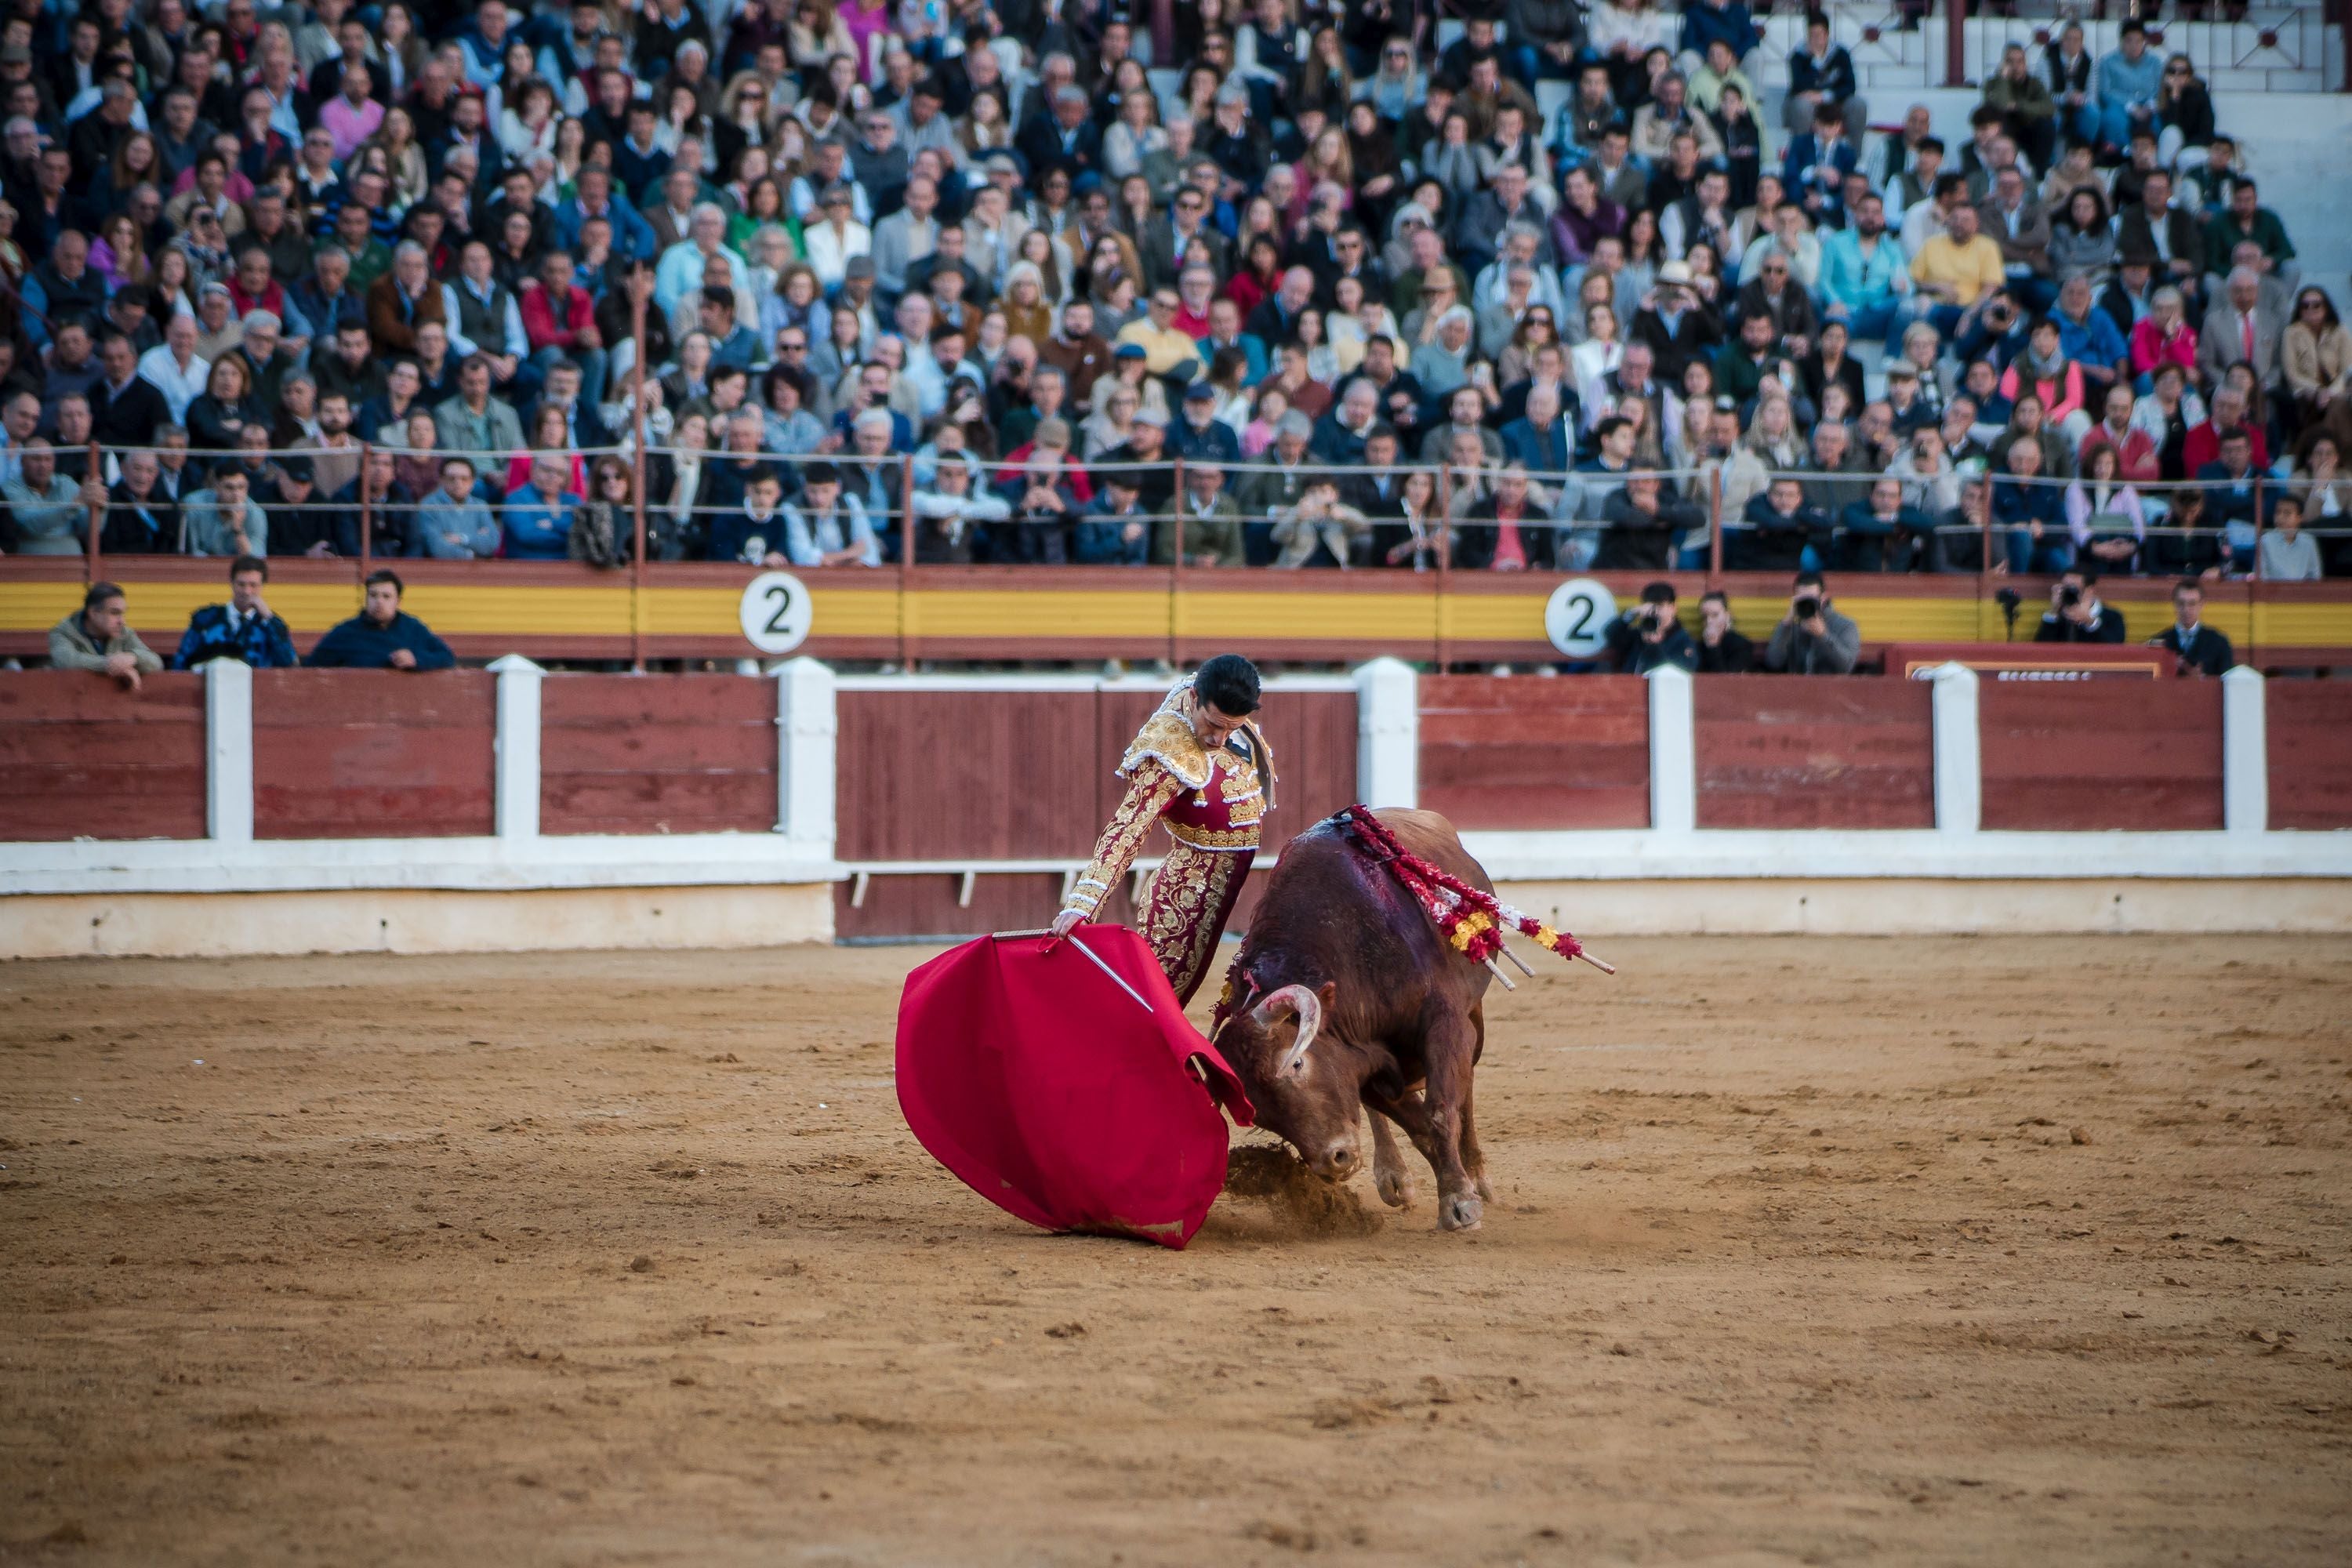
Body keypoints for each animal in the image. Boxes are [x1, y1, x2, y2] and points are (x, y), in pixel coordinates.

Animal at [1214, 818, 1505, 1232]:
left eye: (1297, 1063)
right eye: (1256, 1109)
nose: (1333, 1162)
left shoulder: (1446, 1025)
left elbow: (1441, 1110)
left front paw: (1462, 1201)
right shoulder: (1362, 1060)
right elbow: (1417, 1126)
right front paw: (1450, 1192)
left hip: (1473, 1018)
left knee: (1466, 1089)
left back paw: (1479, 1179)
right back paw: (1394, 1178)